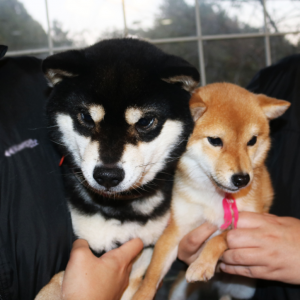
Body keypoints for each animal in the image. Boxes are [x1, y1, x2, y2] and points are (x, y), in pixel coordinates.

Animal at [134, 82, 290, 300]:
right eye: (215, 141)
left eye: (252, 141)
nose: (242, 179)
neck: (216, 198)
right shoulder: (176, 230)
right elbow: (151, 275)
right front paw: (141, 294)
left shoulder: (247, 225)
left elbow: (218, 238)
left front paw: (202, 264)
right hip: (179, 290)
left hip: (244, 291)